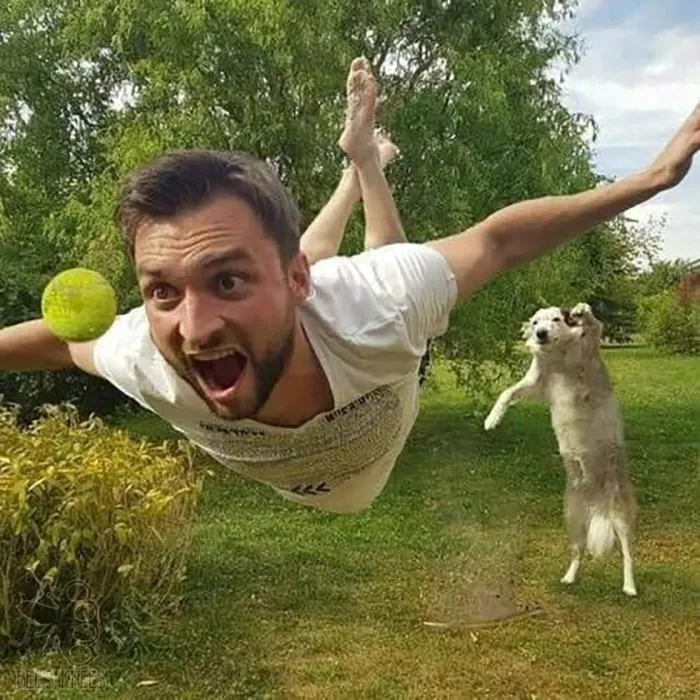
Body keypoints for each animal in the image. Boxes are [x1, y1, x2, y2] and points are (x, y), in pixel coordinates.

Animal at [484, 303, 638, 596]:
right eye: (535, 323)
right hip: (573, 520)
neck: (558, 355)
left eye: (556, 319)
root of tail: (597, 498)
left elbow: (593, 325)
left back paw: (629, 586)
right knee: (578, 552)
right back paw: (569, 576)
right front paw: (492, 419)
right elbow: (507, 393)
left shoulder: (588, 352)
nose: (541, 333)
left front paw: (581, 311)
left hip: (621, 516)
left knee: (627, 553)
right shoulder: (534, 382)